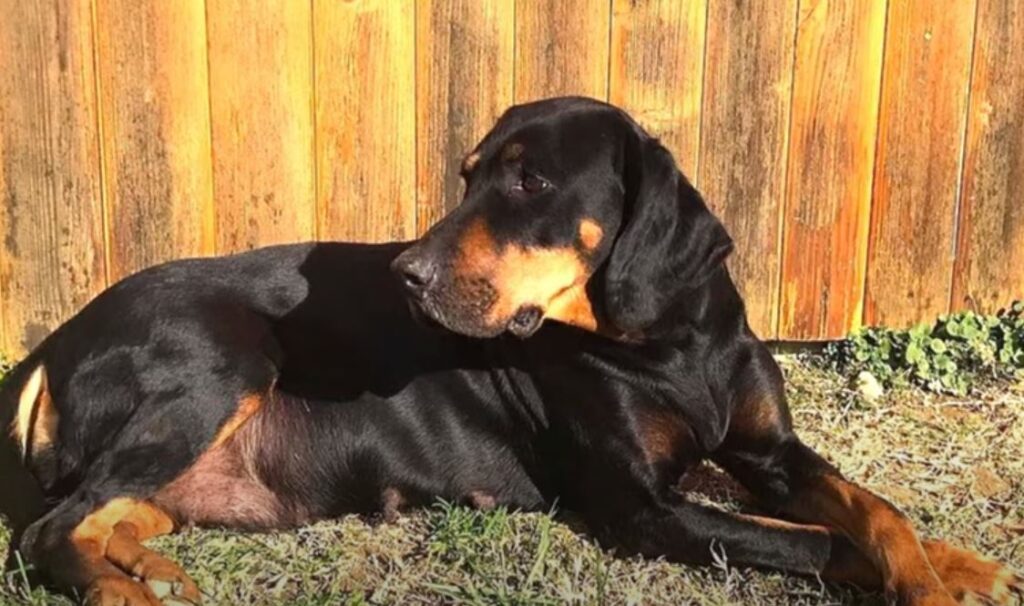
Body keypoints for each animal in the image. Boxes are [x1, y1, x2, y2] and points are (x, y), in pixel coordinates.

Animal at [0, 97, 1019, 601]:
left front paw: (951, 566)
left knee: (107, 514)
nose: (406, 275)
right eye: (467, 176)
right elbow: (818, 541)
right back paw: (124, 594)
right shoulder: (645, 511)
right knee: (45, 528)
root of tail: (55, 342)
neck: (666, 343)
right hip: (225, 365)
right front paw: (927, 590)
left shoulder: (768, 450)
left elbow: (872, 510)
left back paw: (150, 572)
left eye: (529, 181)